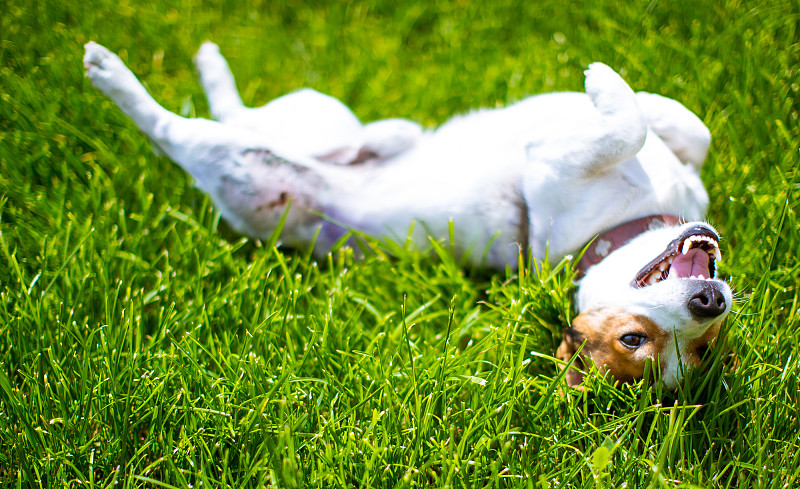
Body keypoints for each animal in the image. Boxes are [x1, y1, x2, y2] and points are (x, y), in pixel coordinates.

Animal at [83, 40, 732, 386]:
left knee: (173, 129)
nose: (710, 300)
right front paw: (616, 88)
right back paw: (207, 64)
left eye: (699, 346)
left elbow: (636, 126)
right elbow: (674, 126)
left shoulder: (553, 165)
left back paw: (112, 74)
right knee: (244, 114)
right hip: (322, 115)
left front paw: (610, 92)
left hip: (240, 166)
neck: (626, 225)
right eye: (633, 337)